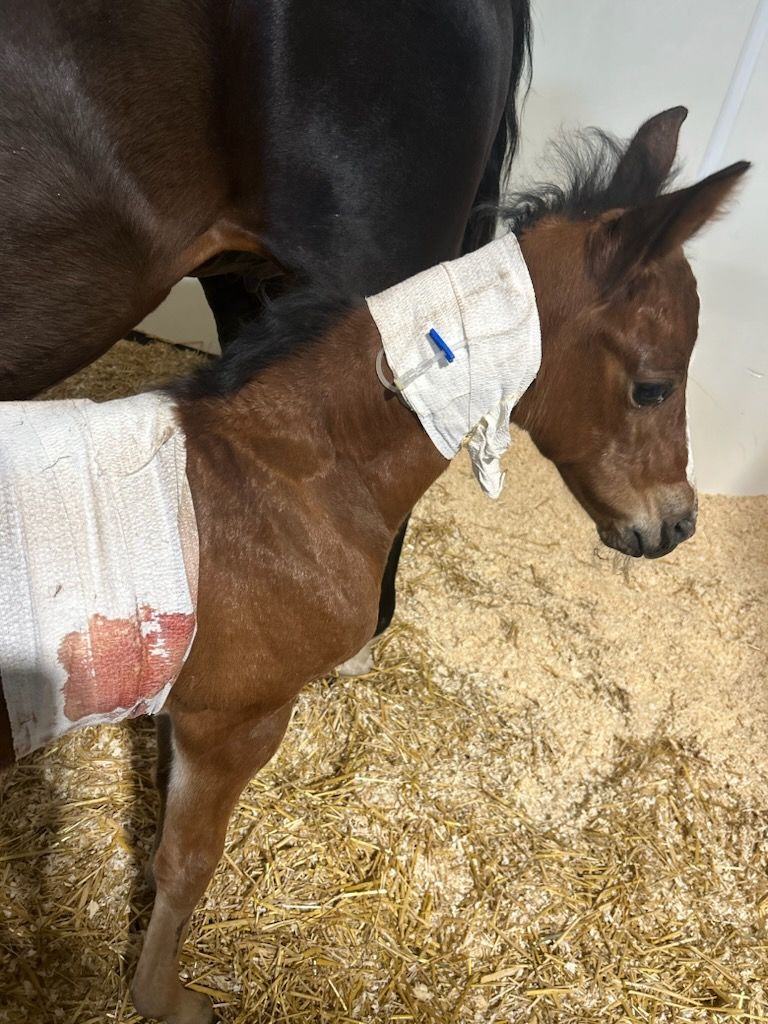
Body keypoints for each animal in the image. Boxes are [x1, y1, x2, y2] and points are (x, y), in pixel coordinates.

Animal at [0, 108, 748, 1022]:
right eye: (652, 386)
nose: (675, 524)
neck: (281, 476)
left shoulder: (184, 708)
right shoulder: (234, 720)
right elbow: (186, 865)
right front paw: (164, 997)